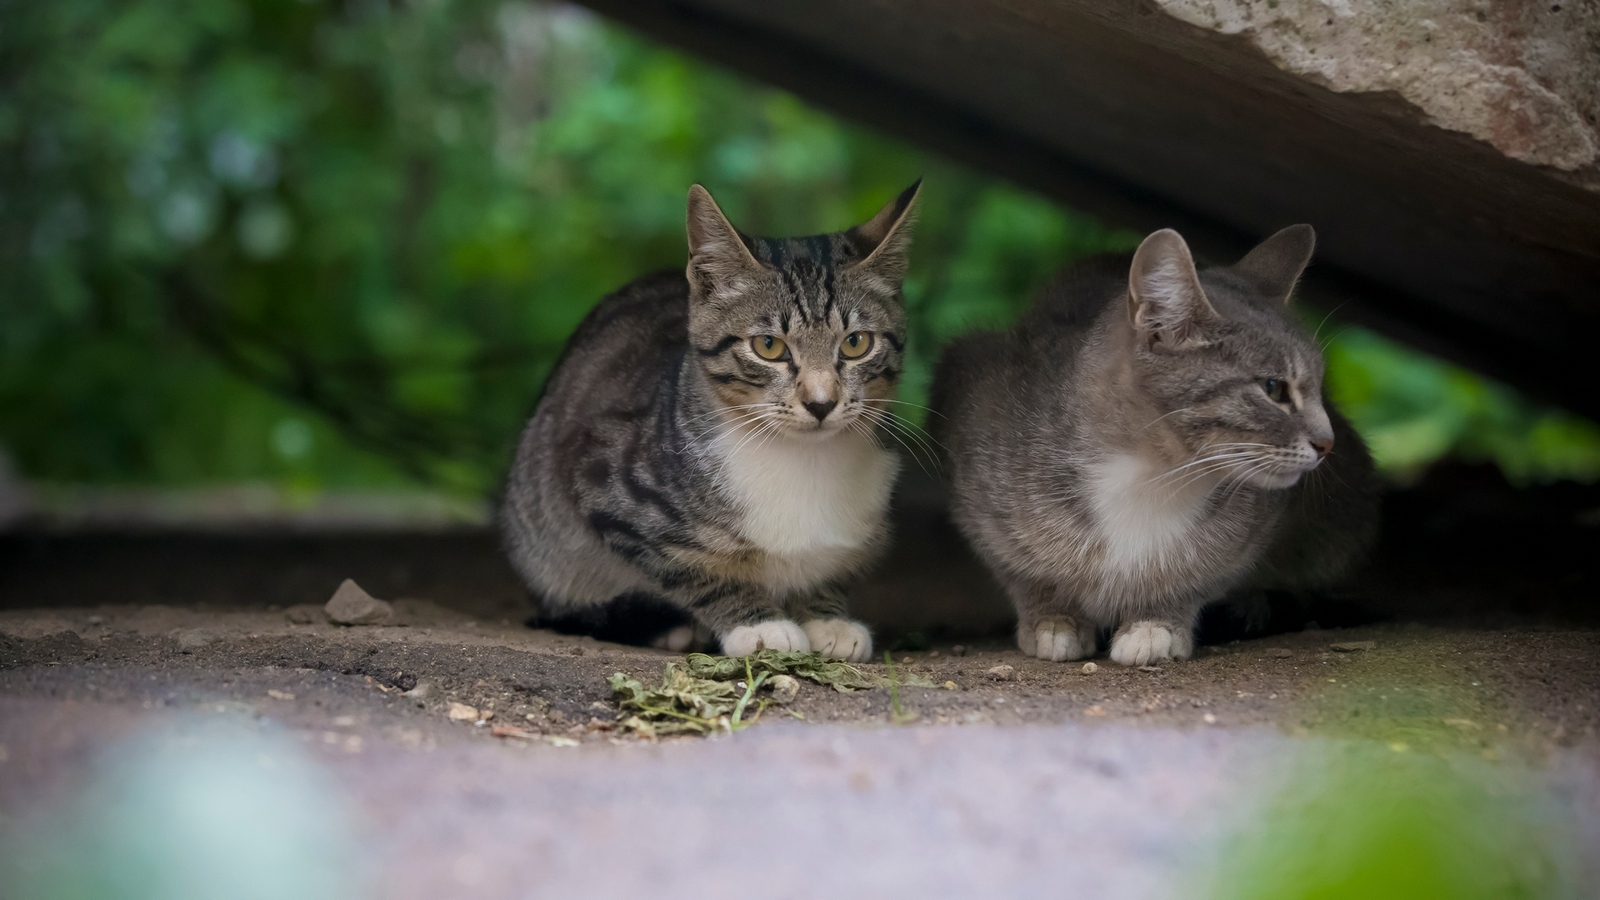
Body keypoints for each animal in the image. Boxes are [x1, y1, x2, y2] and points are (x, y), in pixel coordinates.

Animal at [499, 182, 928, 659]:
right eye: (768, 346)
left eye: (856, 343)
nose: (821, 403)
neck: (803, 460)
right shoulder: (604, 483)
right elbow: (689, 568)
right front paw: (758, 625)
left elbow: (830, 568)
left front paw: (825, 617)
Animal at [934, 224, 1382, 662]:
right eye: (1274, 388)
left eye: (1320, 386)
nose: (1327, 443)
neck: (1152, 476)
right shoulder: (969, 427)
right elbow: (1021, 569)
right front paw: (1053, 618)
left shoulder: (1250, 532)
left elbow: (1198, 574)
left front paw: (1156, 622)